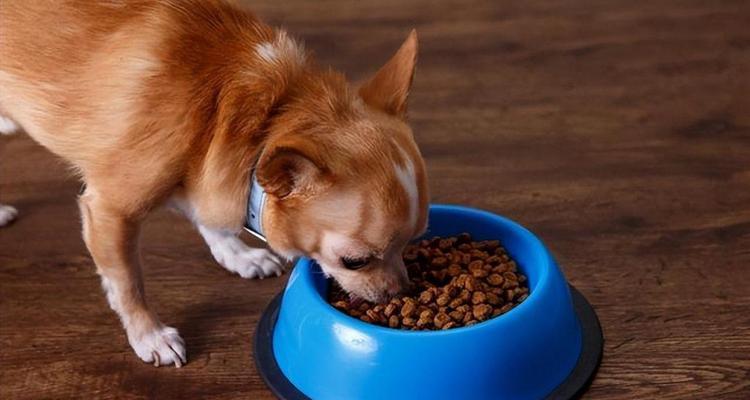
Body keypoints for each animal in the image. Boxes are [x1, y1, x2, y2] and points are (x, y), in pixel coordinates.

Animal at [0, 0, 428, 368]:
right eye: (354, 262)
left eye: (413, 241)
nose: (402, 293)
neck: (257, 119)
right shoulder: (110, 211)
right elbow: (127, 282)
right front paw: (149, 334)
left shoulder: (207, 172)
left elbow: (210, 219)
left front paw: (237, 254)